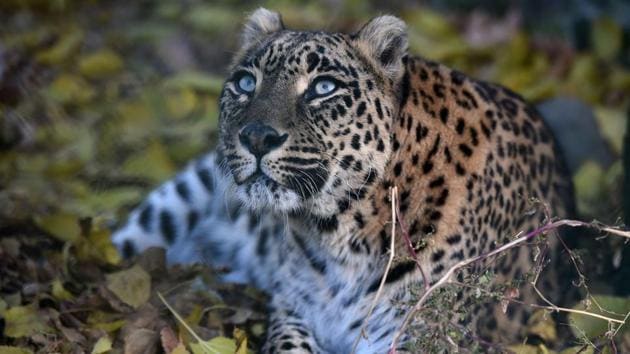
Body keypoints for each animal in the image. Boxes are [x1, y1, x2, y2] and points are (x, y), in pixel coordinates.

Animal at [111, 9, 576, 354]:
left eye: (323, 87)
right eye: (245, 82)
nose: (256, 136)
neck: (340, 233)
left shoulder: (425, 336)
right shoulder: (290, 309)